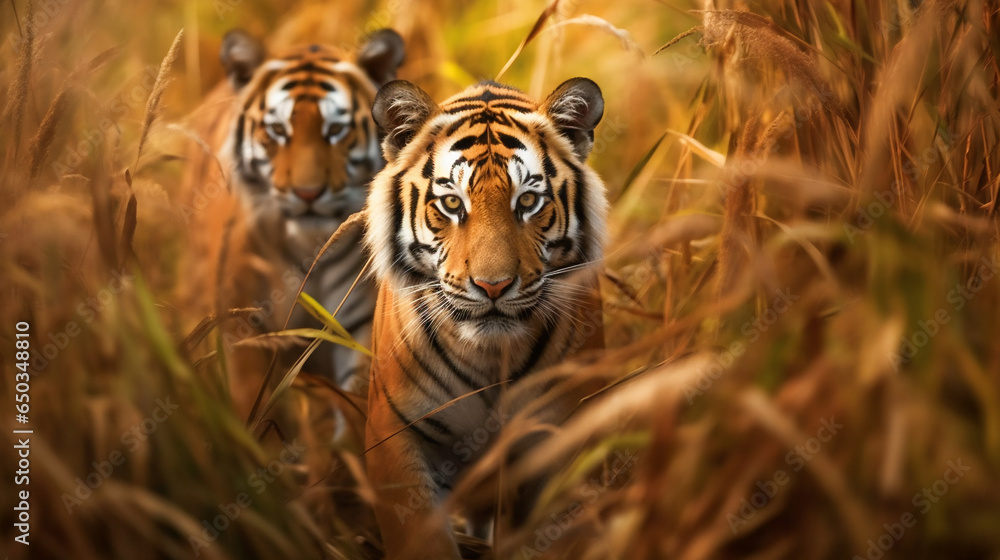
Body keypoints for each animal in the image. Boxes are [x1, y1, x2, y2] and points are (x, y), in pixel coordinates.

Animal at [179, 28, 405, 418]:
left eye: (336, 129)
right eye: (277, 130)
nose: (307, 192)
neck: (308, 250)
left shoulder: (356, 326)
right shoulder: (243, 329)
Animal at [361, 78, 608, 559]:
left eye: (528, 200)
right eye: (451, 203)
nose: (493, 286)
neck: (491, 356)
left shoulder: (569, 433)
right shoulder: (392, 432)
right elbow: (422, 539)